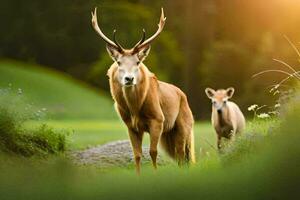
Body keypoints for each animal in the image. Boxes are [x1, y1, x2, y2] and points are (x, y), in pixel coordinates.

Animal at [90, 7, 196, 173]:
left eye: (138, 62)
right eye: (118, 62)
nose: (129, 79)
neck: (135, 109)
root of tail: (183, 94)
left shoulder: (158, 119)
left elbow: (153, 151)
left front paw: (155, 173)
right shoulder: (131, 126)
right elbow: (137, 155)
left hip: (184, 125)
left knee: (183, 153)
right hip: (168, 133)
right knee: (180, 156)